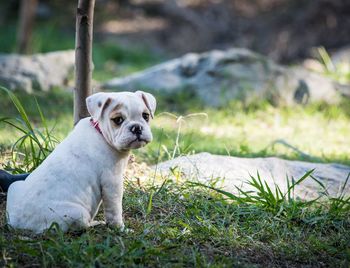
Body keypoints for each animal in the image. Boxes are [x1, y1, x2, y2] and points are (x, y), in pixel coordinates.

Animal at [5, 90, 156, 232]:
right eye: (118, 120)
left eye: (146, 116)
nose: (137, 127)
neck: (101, 133)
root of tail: (19, 223)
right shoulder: (112, 182)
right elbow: (115, 210)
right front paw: (120, 229)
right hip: (78, 213)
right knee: (82, 225)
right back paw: (95, 223)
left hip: (14, 186)